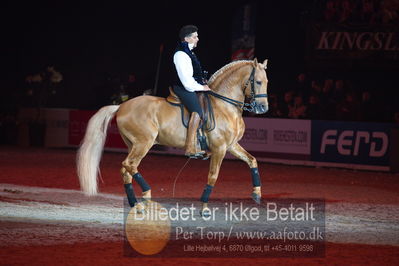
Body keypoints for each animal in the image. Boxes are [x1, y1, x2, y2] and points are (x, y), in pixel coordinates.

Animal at [76, 58, 270, 216]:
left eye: (267, 81)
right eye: (258, 81)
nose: (263, 108)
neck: (224, 105)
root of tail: (121, 106)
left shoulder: (231, 145)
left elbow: (252, 160)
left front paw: (257, 194)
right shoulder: (219, 148)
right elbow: (213, 176)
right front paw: (205, 208)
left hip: (133, 144)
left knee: (126, 170)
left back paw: (136, 205)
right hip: (143, 143)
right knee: (128, 165)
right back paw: (146, 195)